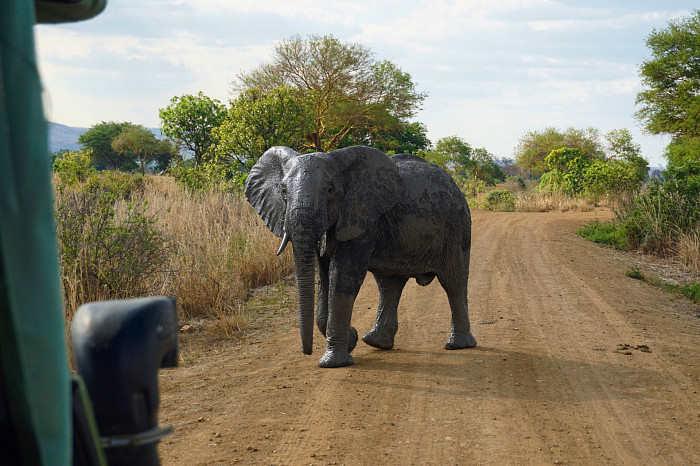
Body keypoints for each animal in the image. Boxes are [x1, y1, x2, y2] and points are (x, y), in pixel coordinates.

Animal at [245, 146, 476, 368]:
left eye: (330, 190)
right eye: (283, 191)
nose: (306, 352)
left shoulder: (361, 217)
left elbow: (342, 277)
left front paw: (334, 362)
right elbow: (324, 277)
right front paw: (351, 340)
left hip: (457, 225)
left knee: (453, 281)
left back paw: (458, 345)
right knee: (389, 284)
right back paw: (375, 342)